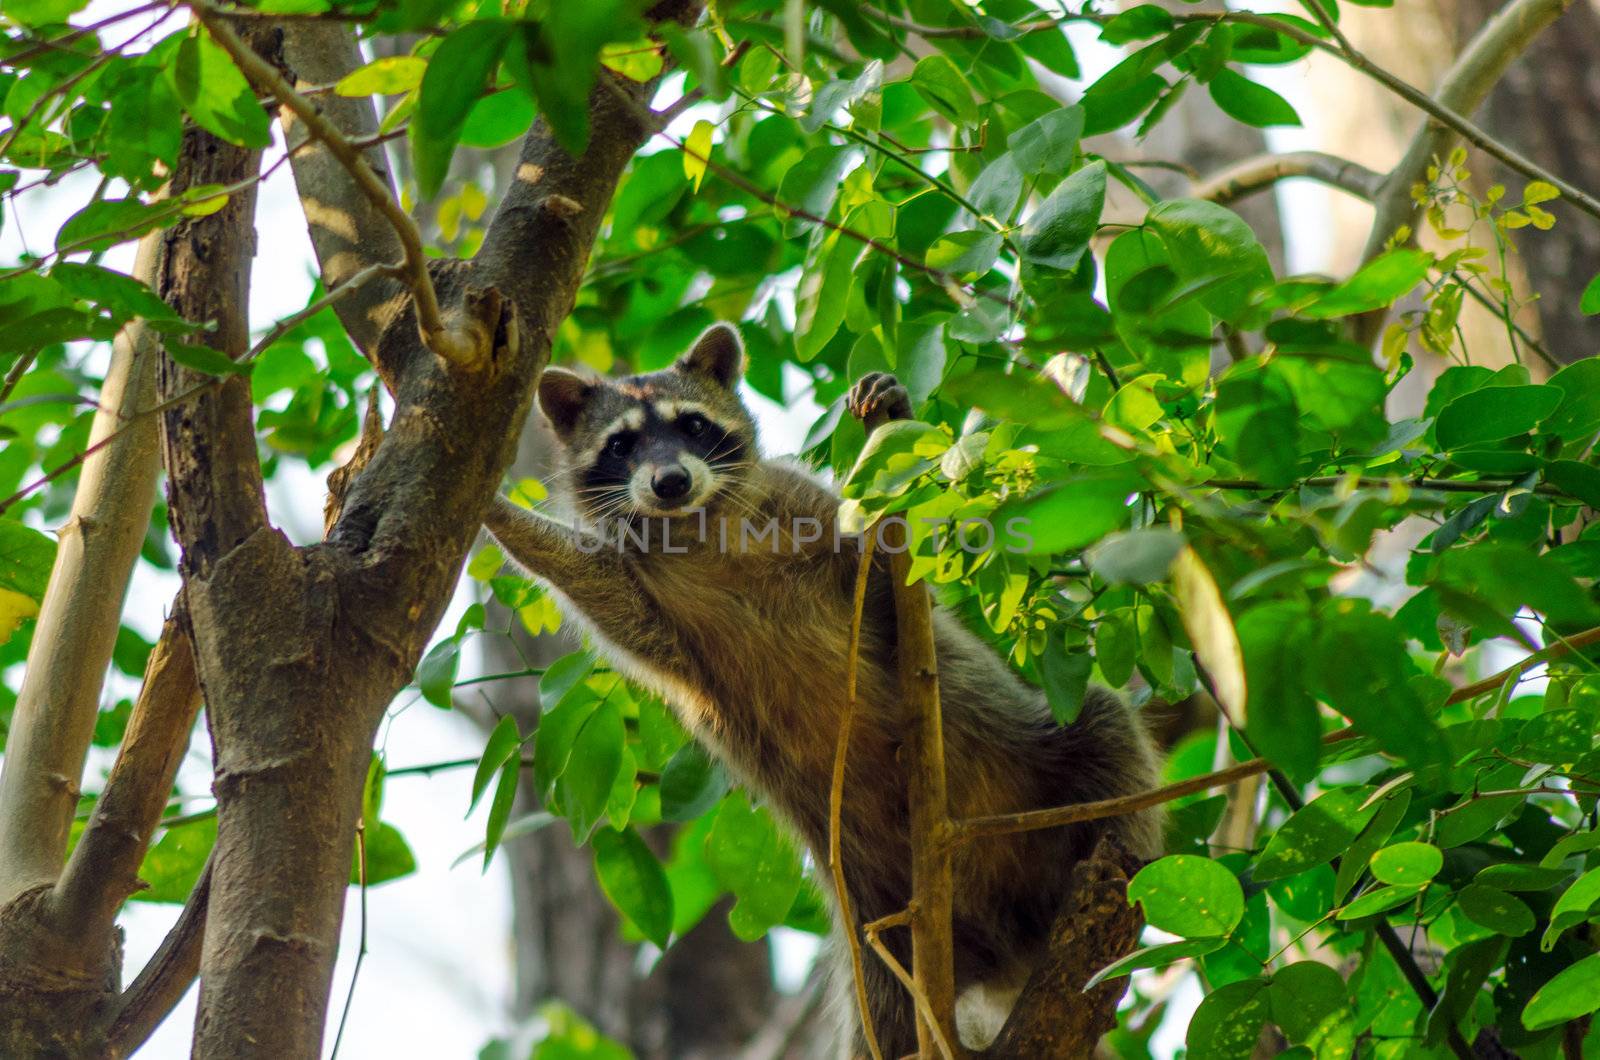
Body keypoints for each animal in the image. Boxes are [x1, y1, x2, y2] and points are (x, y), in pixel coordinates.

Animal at [480, 328, 1158, 1056]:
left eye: (693, 425)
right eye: (622, 443)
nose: (670, 480)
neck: (697, 525)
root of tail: (1010, 958)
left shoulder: (798, 504)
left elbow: (885, 570)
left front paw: (882, 444)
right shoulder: (655, 614)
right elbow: (596, 589)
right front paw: (499, 513)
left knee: (1107, 729)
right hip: (879, 947)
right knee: (881, 1025)